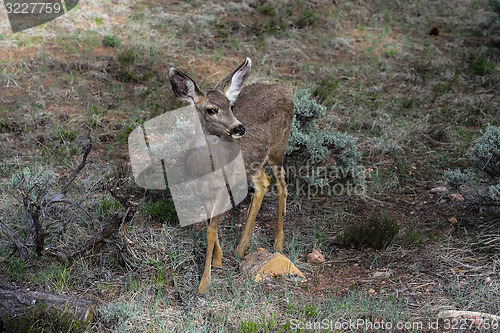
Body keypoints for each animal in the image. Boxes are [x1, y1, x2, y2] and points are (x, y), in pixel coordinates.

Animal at [169, 57, 292, 294]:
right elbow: (210, 226)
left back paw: (278, 243)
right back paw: (241, 248)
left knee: (282, 185)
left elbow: (210, 231)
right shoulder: (203, 193)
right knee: (263, 182)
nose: (239, 128)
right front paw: (218, 259)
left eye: (232, 106)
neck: (205, 171)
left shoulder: (224, 190)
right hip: (254, 162)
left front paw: (204, 282)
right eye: (211, 110)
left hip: (278, 147)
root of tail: (284, 88)